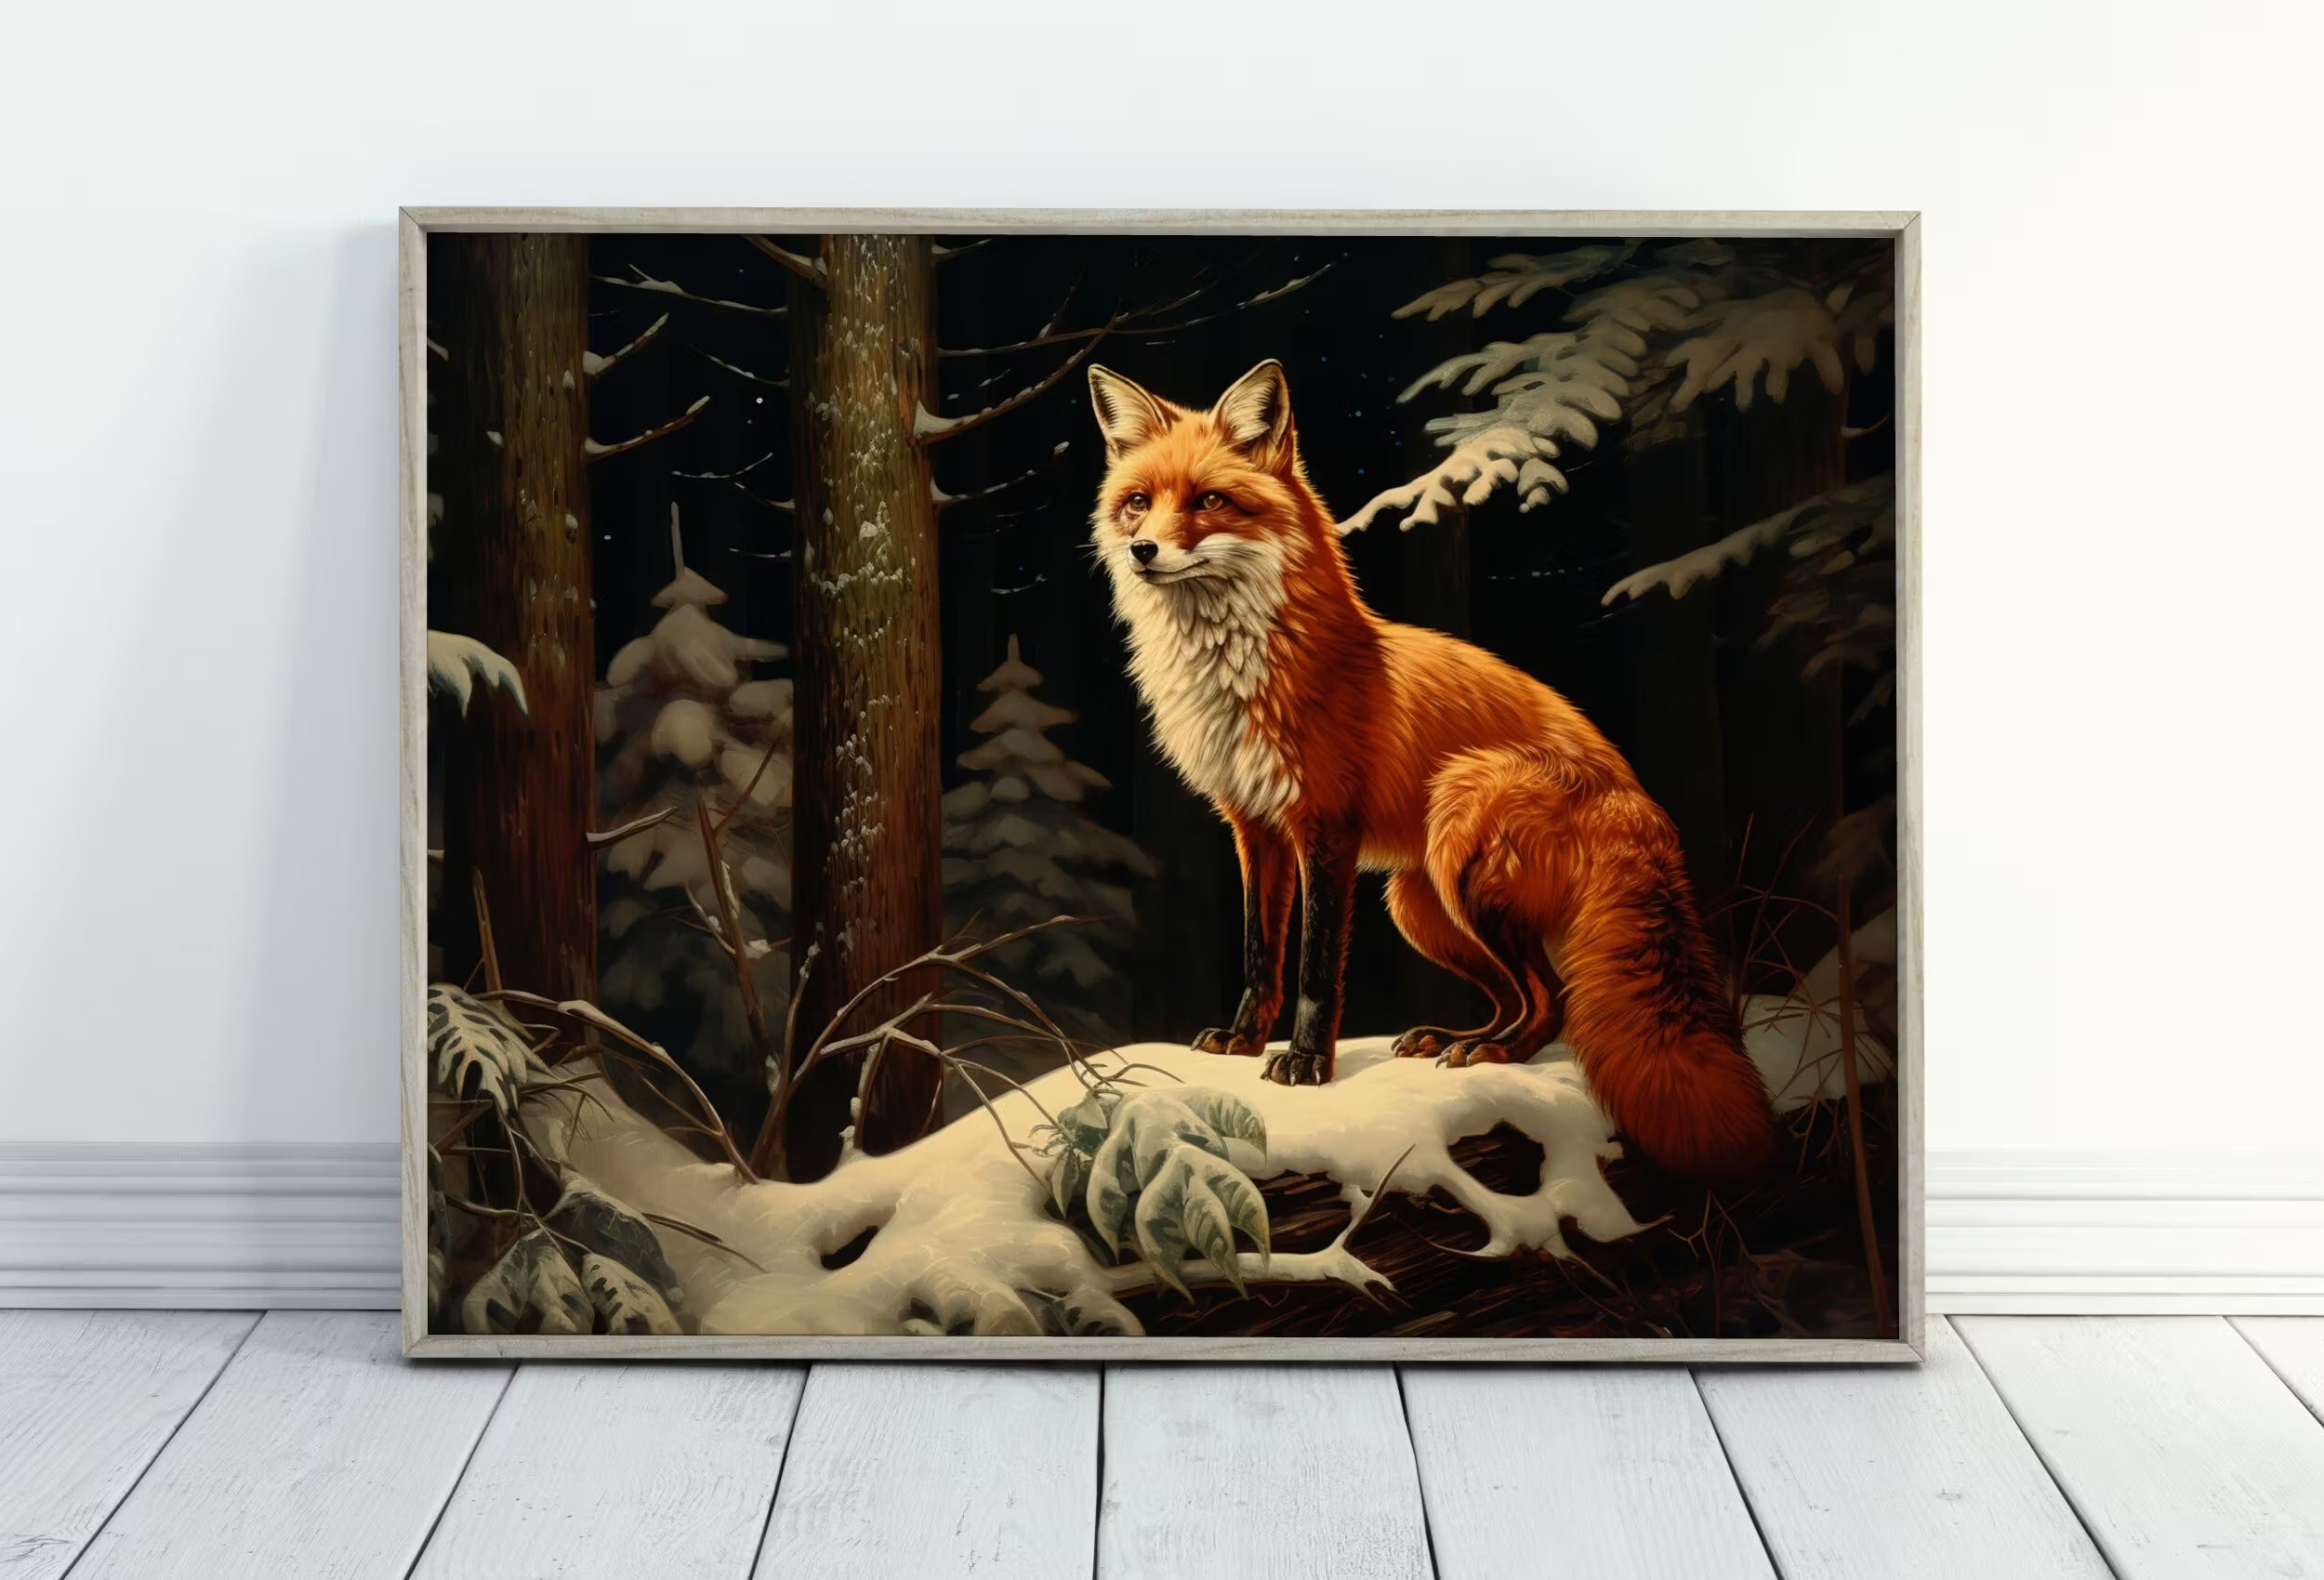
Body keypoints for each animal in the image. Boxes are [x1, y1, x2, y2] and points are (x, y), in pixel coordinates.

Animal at [1085, 358, 1780, 1183]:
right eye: (1137, 503)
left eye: (1209, 501)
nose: (1143, 551)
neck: (1239, 674)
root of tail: (1639, 804)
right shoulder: (1254, 826)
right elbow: (1261, 953)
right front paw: (1245, 1040)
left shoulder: (1326, 827)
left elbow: (1315, 968)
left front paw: (1306, 1065)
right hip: (1421, 907)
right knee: (1523, 996)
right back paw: (1451, 1040)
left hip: (1460, 845)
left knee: (1553, 1003)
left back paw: (1491, 1054)